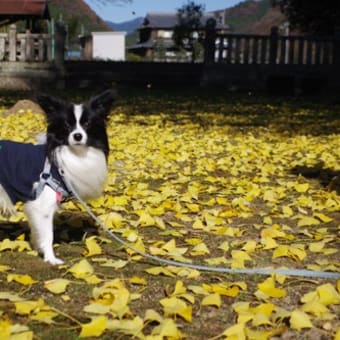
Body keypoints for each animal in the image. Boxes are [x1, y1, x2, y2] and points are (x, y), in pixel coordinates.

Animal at [0, 89, 115, 266]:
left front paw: (37, 248)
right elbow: (48, 235)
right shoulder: (42, 205)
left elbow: (37, 231)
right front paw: (50, 258)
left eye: (87, 124)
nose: (77, 136)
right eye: (67, 125)